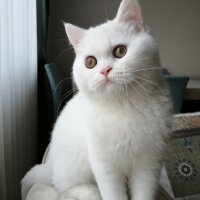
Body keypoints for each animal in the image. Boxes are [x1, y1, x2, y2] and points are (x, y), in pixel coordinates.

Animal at [21, 0, 173, 200]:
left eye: (120, 51)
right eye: (90, 62)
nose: (105, 70)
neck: (123, 107)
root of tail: (51, 166)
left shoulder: (149, 164)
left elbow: (143, 193)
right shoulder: (104, 164)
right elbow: (113, 194)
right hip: (74, 166)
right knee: (62, 186)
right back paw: (90, 191)